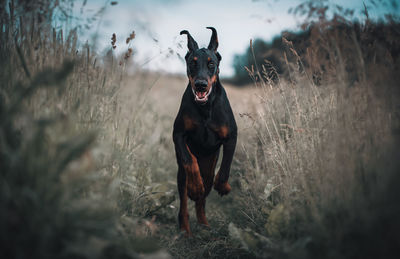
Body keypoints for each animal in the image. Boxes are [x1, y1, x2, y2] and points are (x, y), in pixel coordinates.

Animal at [173, 27, 238, 237]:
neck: (205, 108)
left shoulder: (231, 136)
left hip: (209, 169)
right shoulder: (178, 134)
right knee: (185, 204)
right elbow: (189, 159)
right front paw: (195, 187)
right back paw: (185, 229)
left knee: (202, 198)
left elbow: (225, 166)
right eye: (192, 63)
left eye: (211, 64)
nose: (200, 84)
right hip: (181, 176)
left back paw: (204, 224)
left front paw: (223, 186)